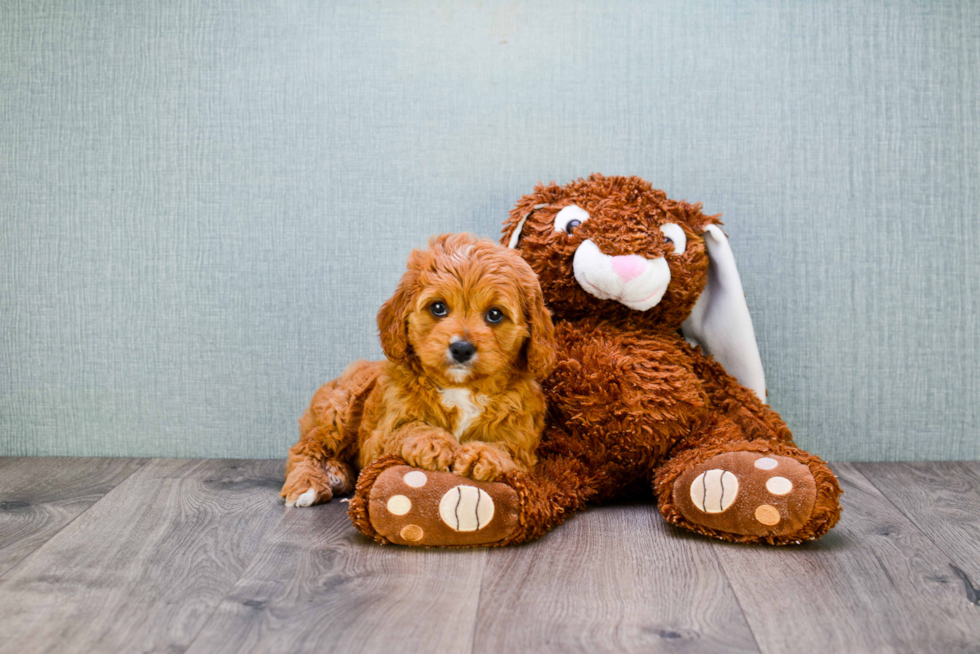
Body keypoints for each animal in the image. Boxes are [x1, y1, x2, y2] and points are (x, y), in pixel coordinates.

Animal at [284, 233, 560, 510]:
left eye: (495, 314)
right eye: (438, 308)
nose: (461, 348)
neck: (461, 388)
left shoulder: (522, 441)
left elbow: (507, 448)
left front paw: (483, 454)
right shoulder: (380, 434)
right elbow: (408, 428)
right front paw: (433, 442)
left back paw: (337, 473)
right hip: (341, 409)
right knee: (307, 446)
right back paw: (309, 484)